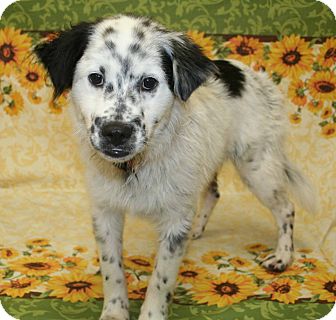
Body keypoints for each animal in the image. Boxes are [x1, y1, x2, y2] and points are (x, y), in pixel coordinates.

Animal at [35, 13, 316, 318]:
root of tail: (251, 72)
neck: (136, 165)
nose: (116, 132)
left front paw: (151, 314)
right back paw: (198, 229)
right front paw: (114, 311)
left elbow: (161, 279)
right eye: (96, 78)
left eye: (149, 83)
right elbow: (112, 269)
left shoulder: (175, 219)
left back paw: (283, 256)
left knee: (286, 207)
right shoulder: (104, 211)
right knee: (213, 191)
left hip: (257, 165)